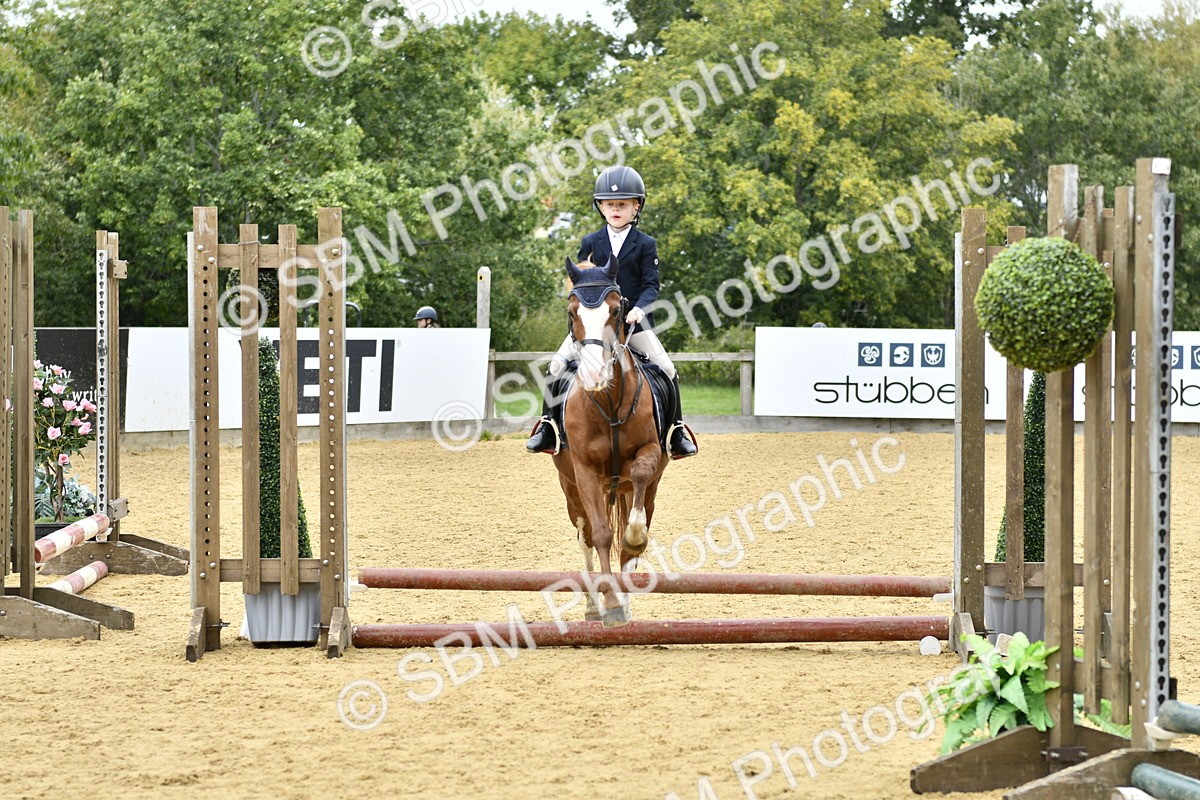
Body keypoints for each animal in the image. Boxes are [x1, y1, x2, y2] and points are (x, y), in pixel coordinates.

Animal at [551, 255, 669, 627]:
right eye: (572, 311)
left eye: (617, 311)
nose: (594, 376)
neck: (608, 401)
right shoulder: (584, 471)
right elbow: (601, 535)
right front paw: (611, 605)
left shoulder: (649, 454)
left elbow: (641, 481)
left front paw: (634, 539)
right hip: (571, 489)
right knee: (586, 535)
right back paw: (593, 606)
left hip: (640, 489)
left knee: (640, 511)